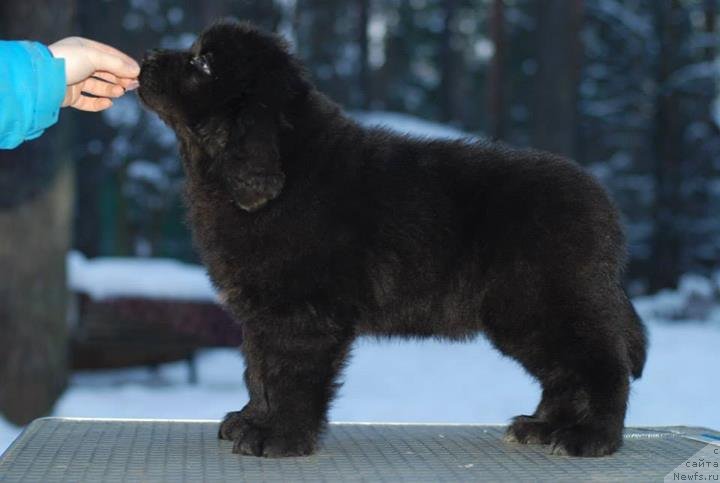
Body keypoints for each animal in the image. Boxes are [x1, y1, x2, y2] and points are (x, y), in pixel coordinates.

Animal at [136, 19, 648, 458]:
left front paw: (279, 436)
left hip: (544, 301)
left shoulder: (301, 312)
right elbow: (257, 369)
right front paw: (251, 420)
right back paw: (542, 427)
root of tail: (603, 205)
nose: (146, 57)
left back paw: (588, 436)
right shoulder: (263, 311)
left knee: (602, 364)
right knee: (565, 373)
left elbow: (287, 374)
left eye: (203, 63)